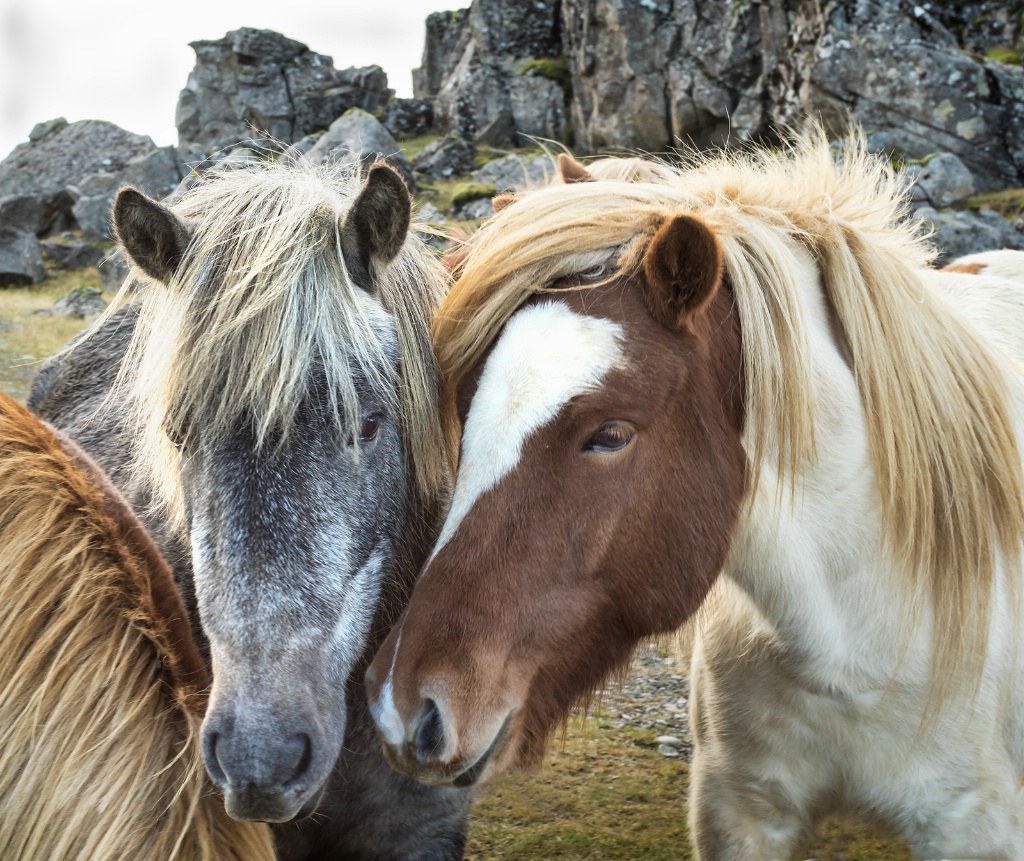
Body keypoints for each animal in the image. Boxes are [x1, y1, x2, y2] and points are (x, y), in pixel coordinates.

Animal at [368, 138, 1024, 855]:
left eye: (610, 434)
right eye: (465, 406)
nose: (406, 709)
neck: (855, 643)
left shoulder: (972, 826)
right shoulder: (741, 809)